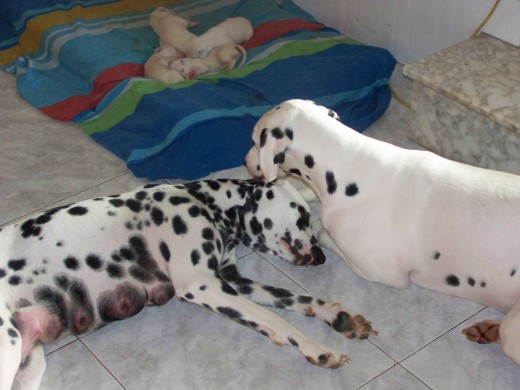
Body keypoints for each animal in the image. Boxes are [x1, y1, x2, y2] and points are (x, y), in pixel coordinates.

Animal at [0, 178, 378, 388]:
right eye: (302, 217)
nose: (321, 256)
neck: (206, 203)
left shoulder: (232, 281)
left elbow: (294, 298)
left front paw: (338, 316)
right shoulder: (204, 285)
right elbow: (278, 320)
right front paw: (318, 347)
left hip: (30, 363)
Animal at [245, 100, 520, 366]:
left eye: (255, 141)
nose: (245, 162)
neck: (353, 167)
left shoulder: (381, 271)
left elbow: (323, 232)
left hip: (513, 331)